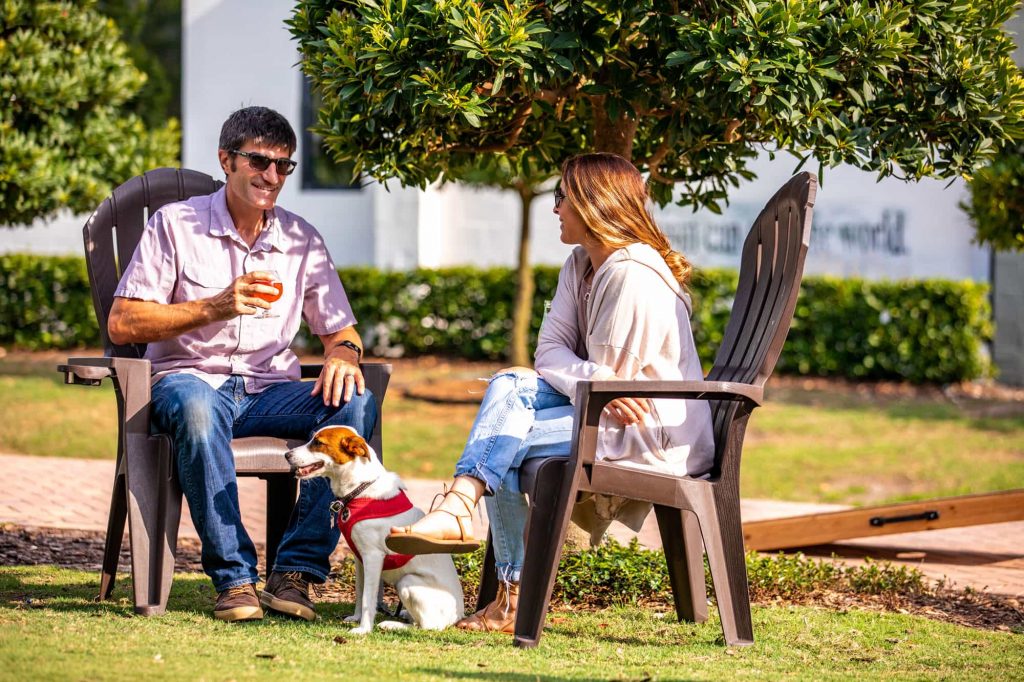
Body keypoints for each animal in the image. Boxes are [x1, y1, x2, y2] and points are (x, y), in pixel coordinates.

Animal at [286, 421, 466, 630]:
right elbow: (359, 592)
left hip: (407, 582)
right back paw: (404, 615)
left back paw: (392, 624)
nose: (286, 455)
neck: (360, 489)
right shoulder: (359, 558)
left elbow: (368, 599)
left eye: (318, 443)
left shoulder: (373, 557)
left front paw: (364, 629)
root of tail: (458, 616)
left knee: (427, 626)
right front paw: (356, 618)